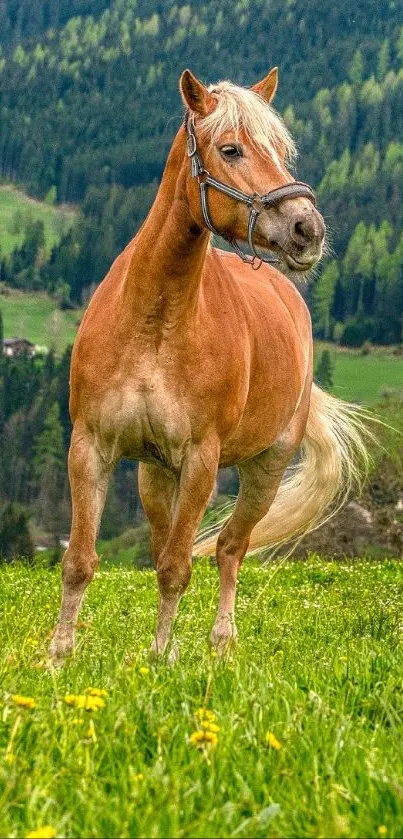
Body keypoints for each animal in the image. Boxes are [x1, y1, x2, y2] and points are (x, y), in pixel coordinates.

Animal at [49, 69, 368, 668]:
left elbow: (178, 568)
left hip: (265, 469)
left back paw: (221, 642)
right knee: (165, 542)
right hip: (155, 474)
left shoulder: (201, 460)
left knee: (229, 549)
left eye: (281, 151)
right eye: (231, 149)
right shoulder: (91, 447)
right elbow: (80, 560)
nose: (307, 229)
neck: (153, 323)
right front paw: (58, 658)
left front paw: (160, 657)